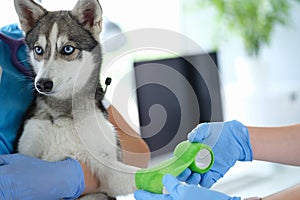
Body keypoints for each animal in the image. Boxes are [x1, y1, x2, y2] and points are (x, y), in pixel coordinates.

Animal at [13, 0, 138, 198]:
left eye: (68, 49)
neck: (64, 112)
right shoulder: (28, 150)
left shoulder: (108, 169)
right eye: (38, 49)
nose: (42, 84)